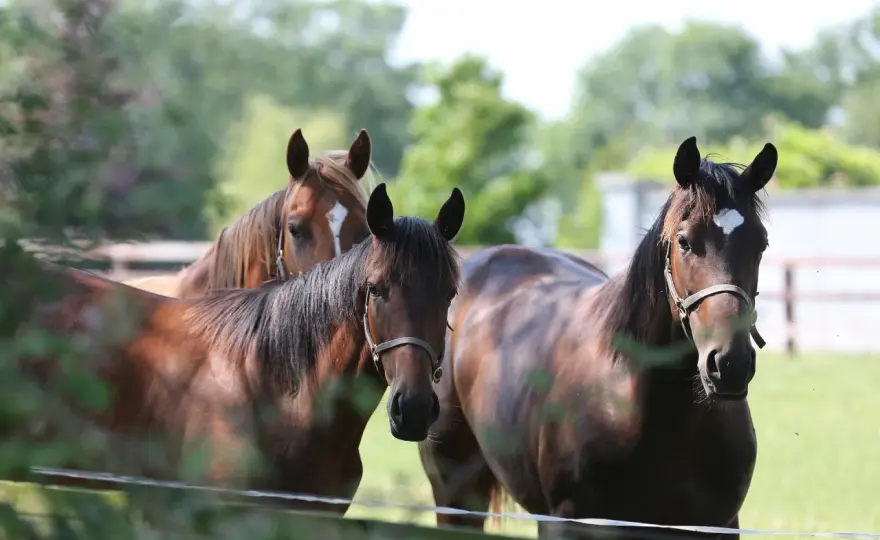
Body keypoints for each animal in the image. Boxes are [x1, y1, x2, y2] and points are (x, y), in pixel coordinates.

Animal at [419, 137, 777, 540]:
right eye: (684, 241)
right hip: (456, 493)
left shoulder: (719, 525)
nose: (729, 364)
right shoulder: (569, 522)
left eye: (761, 243)